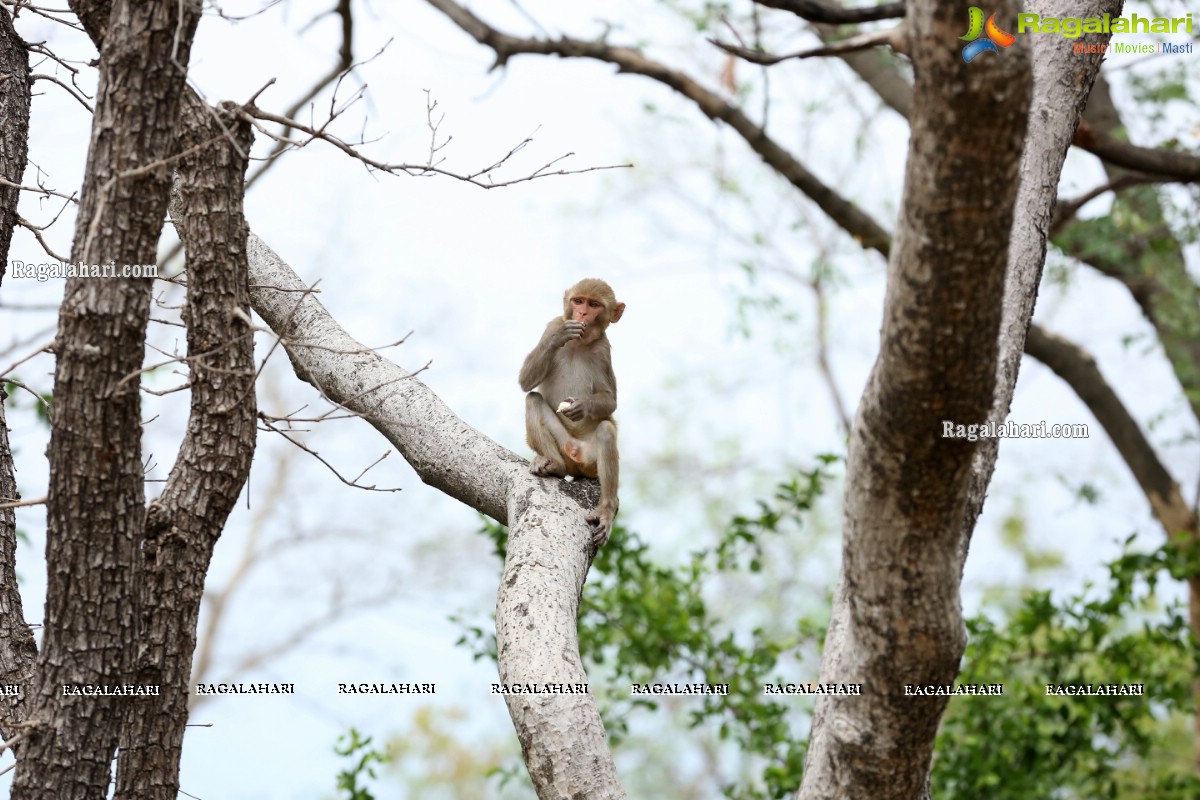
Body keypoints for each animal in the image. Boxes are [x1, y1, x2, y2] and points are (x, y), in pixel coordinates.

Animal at [518, 278, 624, 546]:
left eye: (594, 305)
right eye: (578, 301)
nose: (582, 314)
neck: (580, 343)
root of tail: (576, 456)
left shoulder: (604, 350)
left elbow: (610, 400)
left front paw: (582, 407)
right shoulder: (553, 323)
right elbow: (525, 381)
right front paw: (560, 336)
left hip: (590, 461)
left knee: (606, 430)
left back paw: (606, 509)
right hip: (563, 446)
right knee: (532, 400)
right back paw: (554, 465)